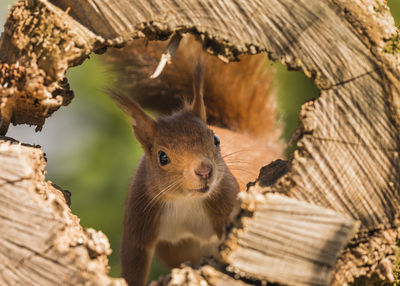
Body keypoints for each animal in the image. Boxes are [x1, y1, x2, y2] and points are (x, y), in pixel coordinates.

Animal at [106, 35, 282, 286]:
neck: (185, 202)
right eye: (162, 157)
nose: (204, 171)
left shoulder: (226, 201)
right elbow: (134, 260)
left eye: (216, 139)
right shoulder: (140, 216)